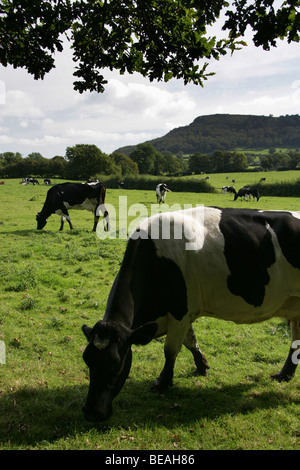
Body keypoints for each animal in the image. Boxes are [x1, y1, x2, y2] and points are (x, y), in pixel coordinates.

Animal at [82, 207, 300, 422]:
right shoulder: (181, 314)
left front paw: (163, 382)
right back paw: (284, 375)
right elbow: (191, 341)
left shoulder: (180, 312)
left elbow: (170, 350)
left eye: (115, 364)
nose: (92, 412)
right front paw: (202, 365)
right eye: (87, 359)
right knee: (295, 343)